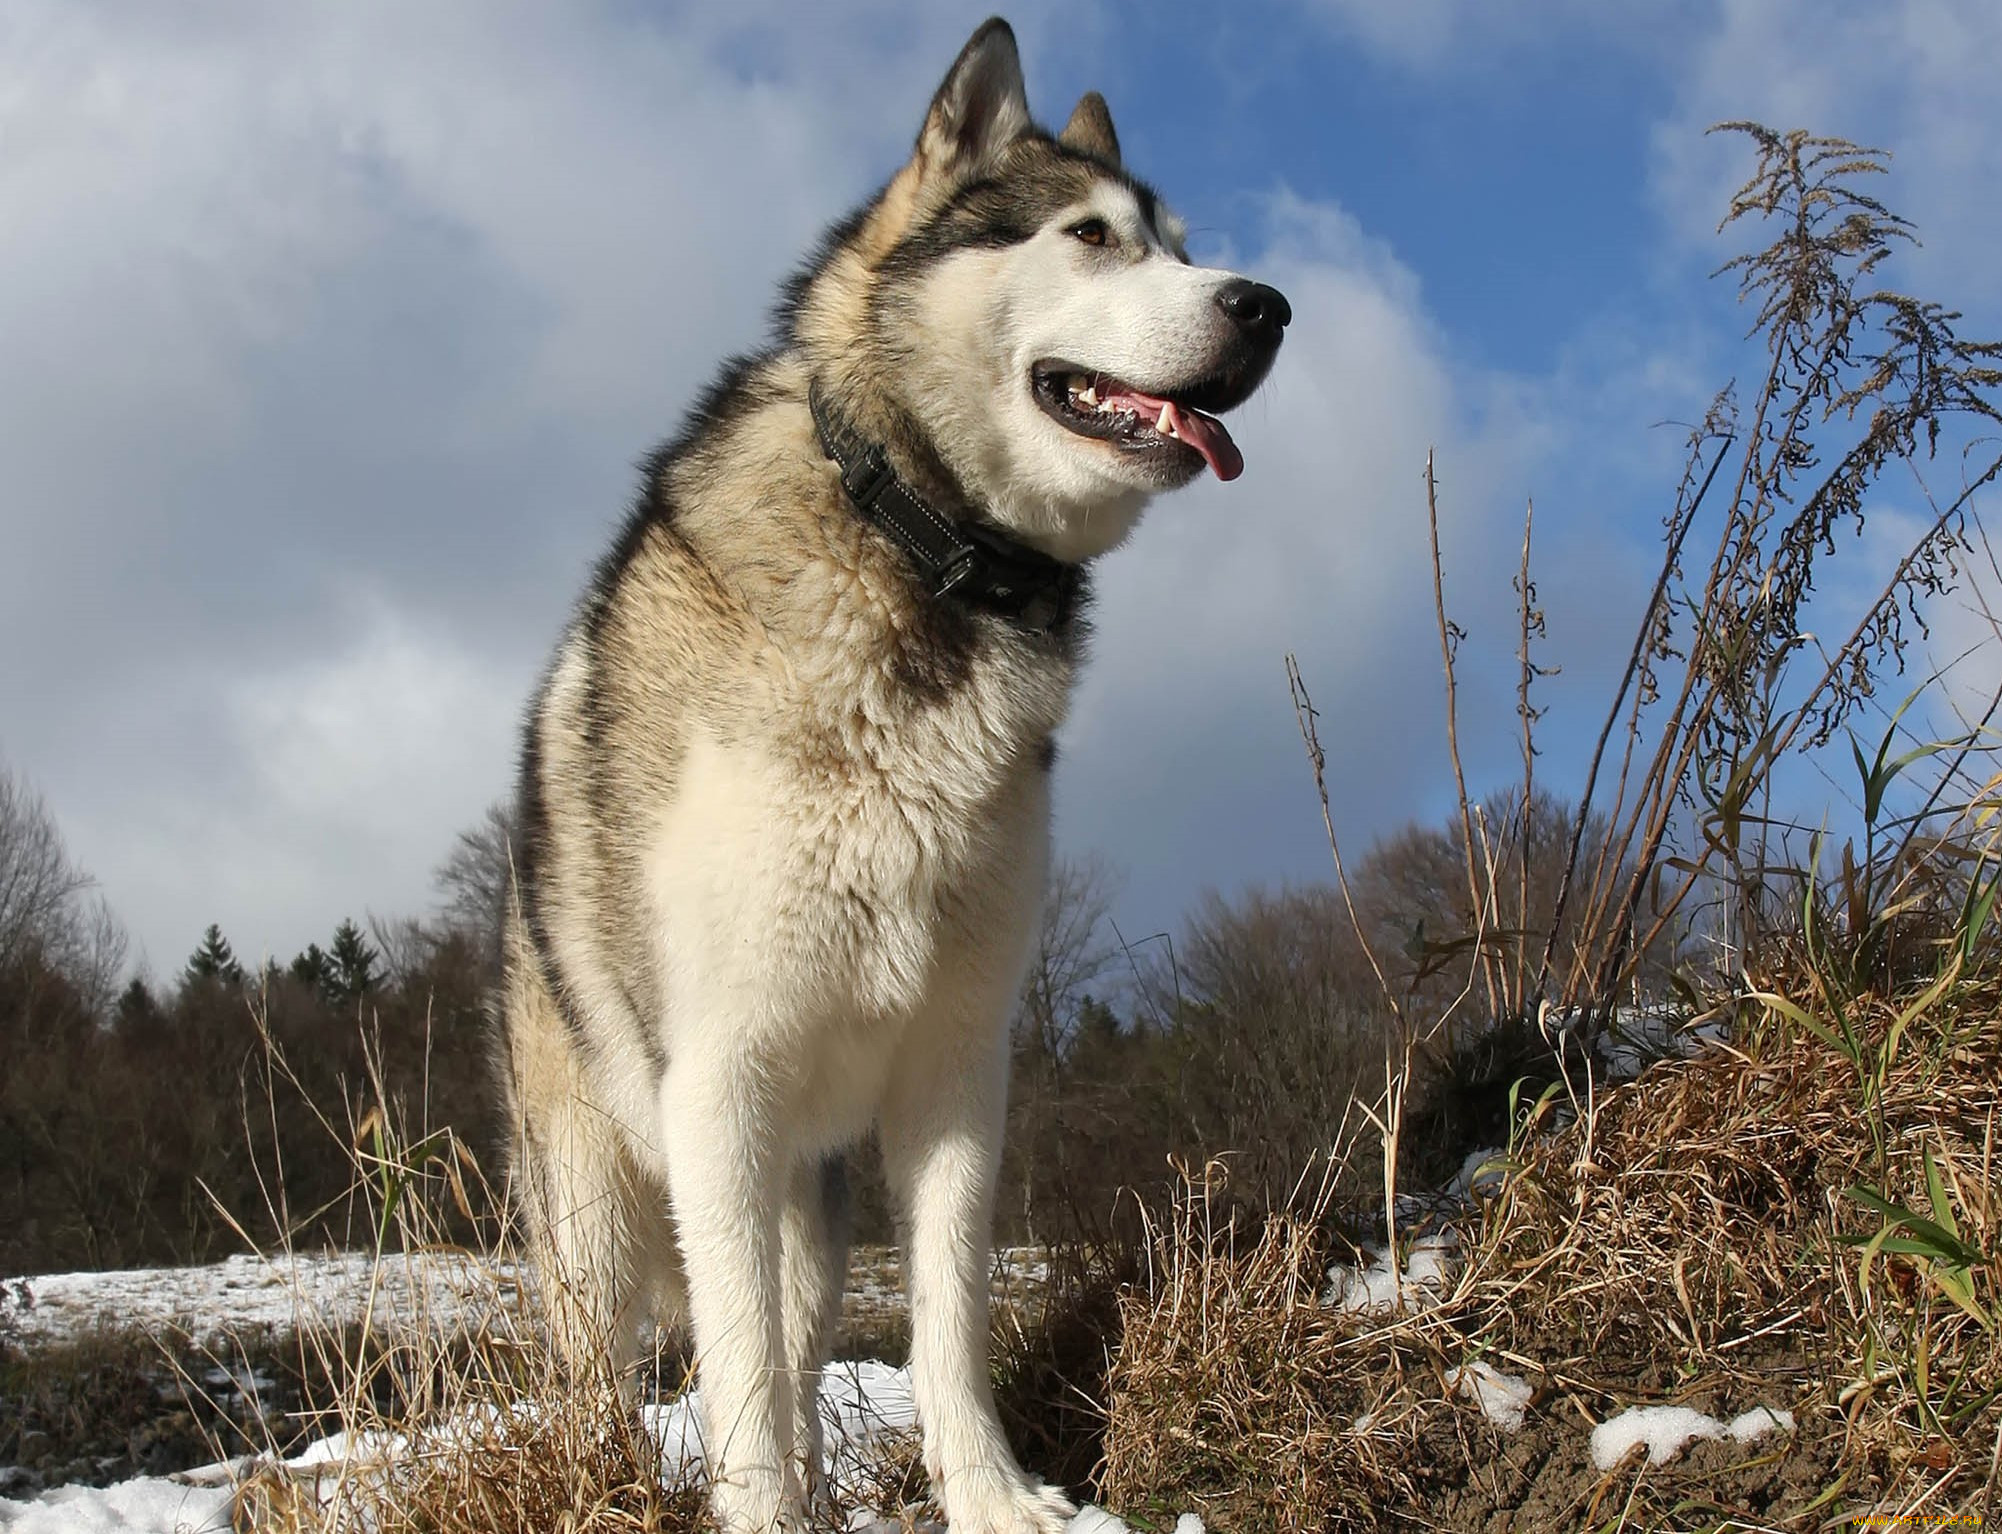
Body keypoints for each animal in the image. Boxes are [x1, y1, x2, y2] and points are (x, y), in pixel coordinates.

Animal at [498, 18, 1281, 1529]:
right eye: (1089, 236)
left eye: (1181, 245)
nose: (1267, 305)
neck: (923, 556)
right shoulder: (720, 1083)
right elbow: (736, 1367)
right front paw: (761, 1513)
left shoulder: (959, 1071)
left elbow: (944, 1315)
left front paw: (992, 1494)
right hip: (601, 1202)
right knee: (614, 1364)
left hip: (809, 1197)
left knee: (799, 1337)